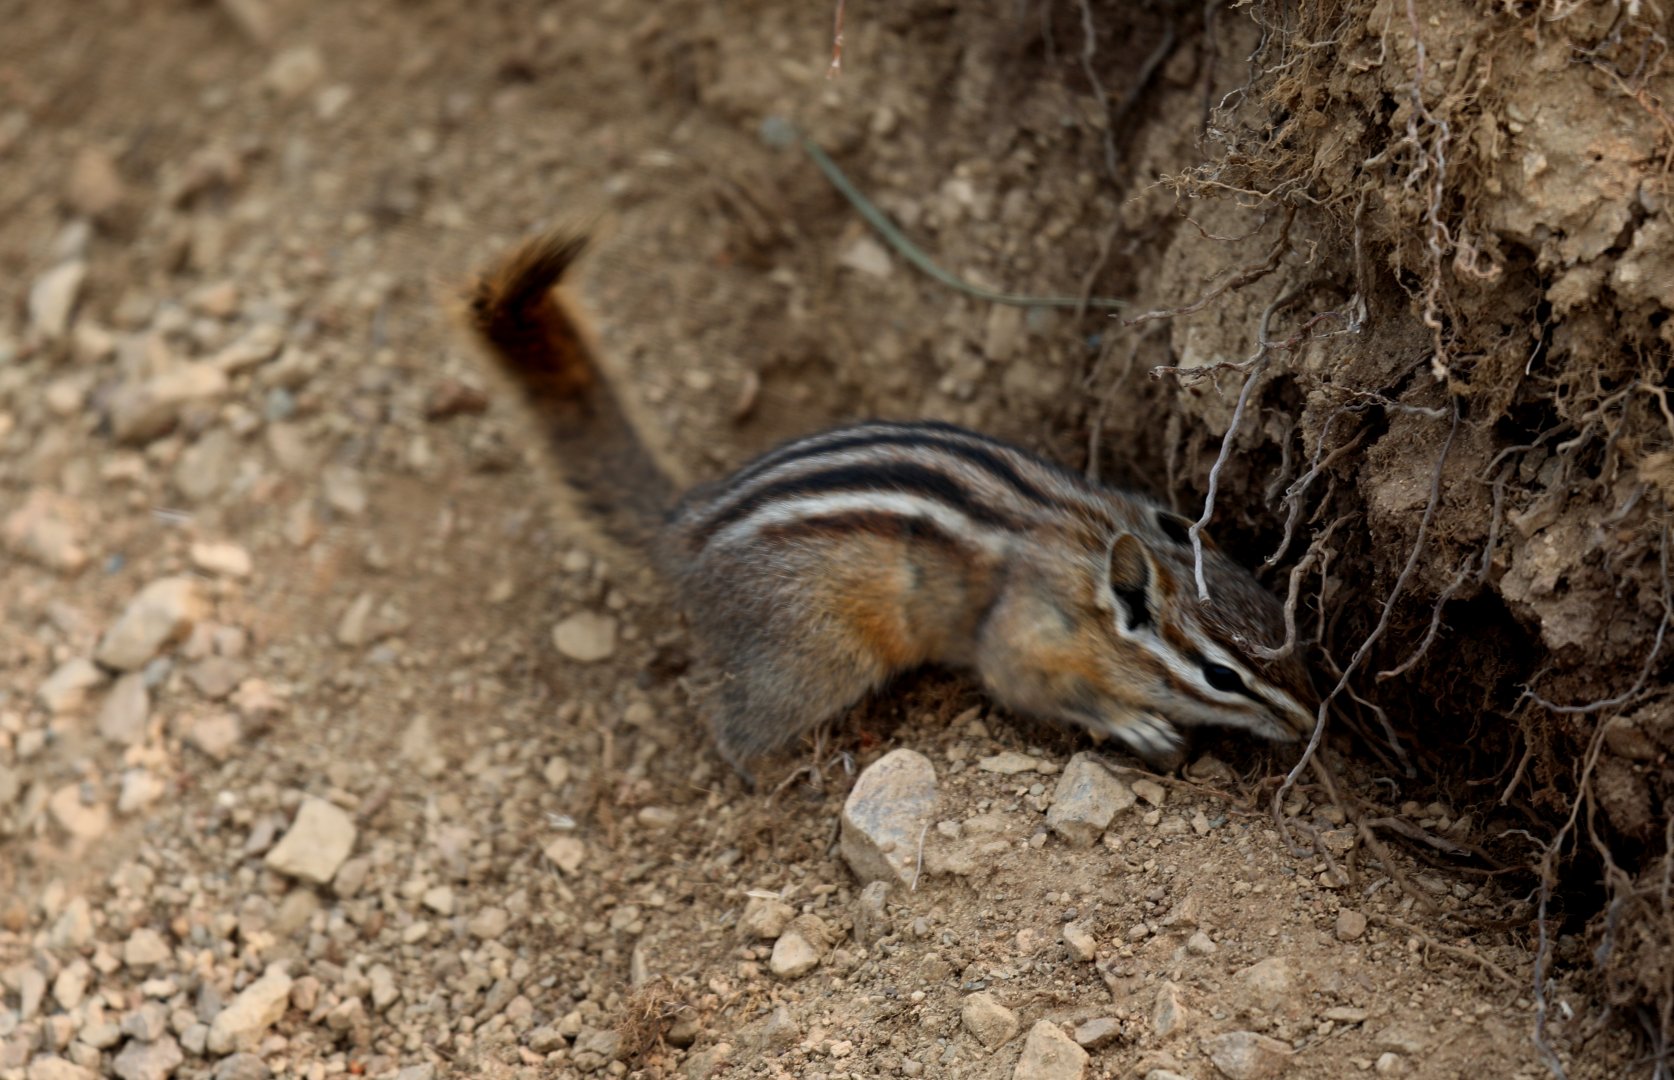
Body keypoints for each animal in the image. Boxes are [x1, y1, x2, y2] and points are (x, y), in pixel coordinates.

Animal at [465, 229, 1317, 784]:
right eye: (1220, 676)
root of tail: (687, 526)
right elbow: (1027, 686)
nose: (1314, 722)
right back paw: (774, 775)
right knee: (724, 723)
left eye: (1285, 622)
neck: (1095, 547)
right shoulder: (1024, 640)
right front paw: (1131, 720)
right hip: (814, 659)